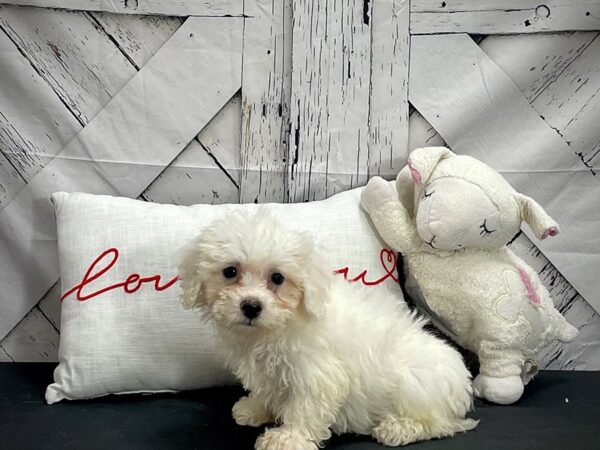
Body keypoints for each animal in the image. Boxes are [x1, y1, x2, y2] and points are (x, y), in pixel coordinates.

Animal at [178, 209, 478, 448]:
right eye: (230, 271)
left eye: (278, 278)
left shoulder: (316, 373)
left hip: (416, 386)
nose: (251, 306)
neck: (276, 328)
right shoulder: (267, 371)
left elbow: (305, 408)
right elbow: (267, 390)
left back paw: (398, 428)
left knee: (438, 424)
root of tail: (463, 384)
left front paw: (288, 439)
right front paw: (256, 408)